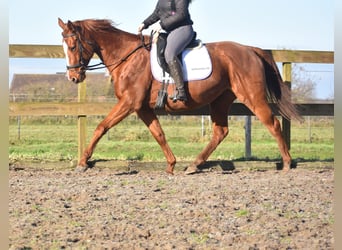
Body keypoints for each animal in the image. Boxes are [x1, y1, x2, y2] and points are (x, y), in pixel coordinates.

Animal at [58, 18, 302, 174]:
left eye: (73, 45)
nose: (73, 77)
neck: (127, 57)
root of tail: (250, 49)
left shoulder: (129, 102)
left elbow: (101, 127)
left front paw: (82, 162)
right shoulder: (142, 107)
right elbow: (158, 133)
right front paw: (171, 164)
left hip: (252, 96)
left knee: (273, 124)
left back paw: (287, 163)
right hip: (221, 99)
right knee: (220, 132)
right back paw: (194, 165)